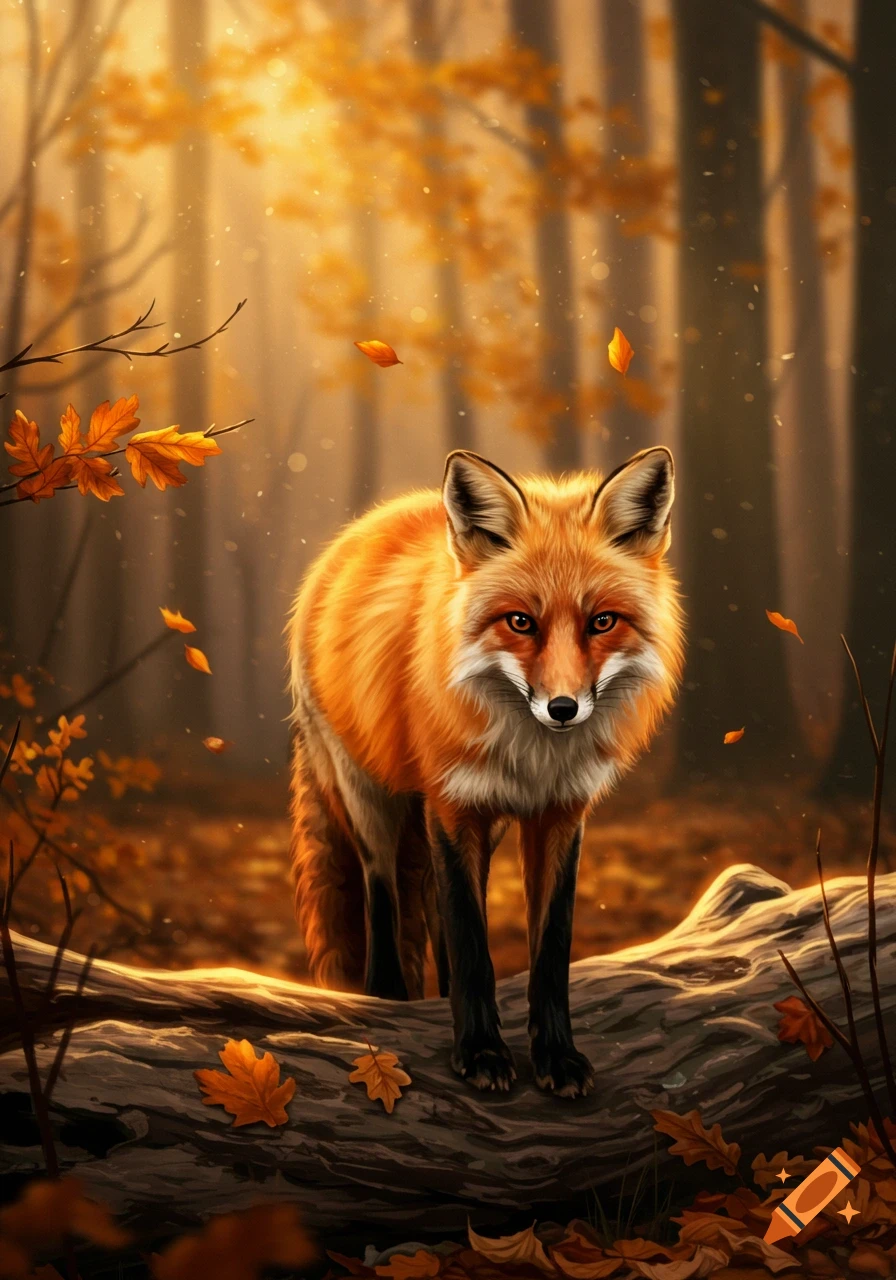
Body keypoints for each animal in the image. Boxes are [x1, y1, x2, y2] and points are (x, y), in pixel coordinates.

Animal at [287, 446, 684, 1098]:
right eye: (520, 622)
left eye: (602, 622)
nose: (563, 708)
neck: (533, 761)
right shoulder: (454, 805)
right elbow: (474, 942)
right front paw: (480, 1052)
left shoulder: (558, 816)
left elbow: (547, 948)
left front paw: (555, 1056)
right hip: (371, 797)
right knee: (382, 895)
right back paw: (387, 999)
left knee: (431, 909)